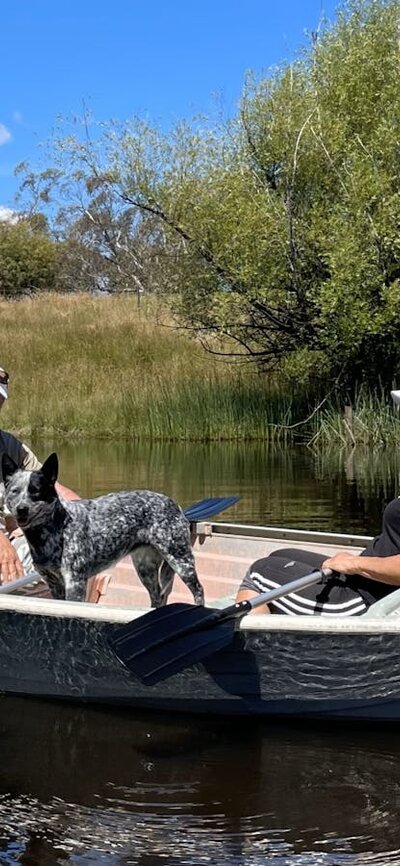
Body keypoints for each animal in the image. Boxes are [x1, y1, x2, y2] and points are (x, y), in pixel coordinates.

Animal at [1, 452, 205, 608]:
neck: (54, 529)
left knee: (198, 589)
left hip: (180, 560)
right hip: (145, 568)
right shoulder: (53, 583)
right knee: (156, 596)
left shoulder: (75, 582)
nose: (21, 509)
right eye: (14, 491)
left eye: (36, 491)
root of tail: (174, 503)